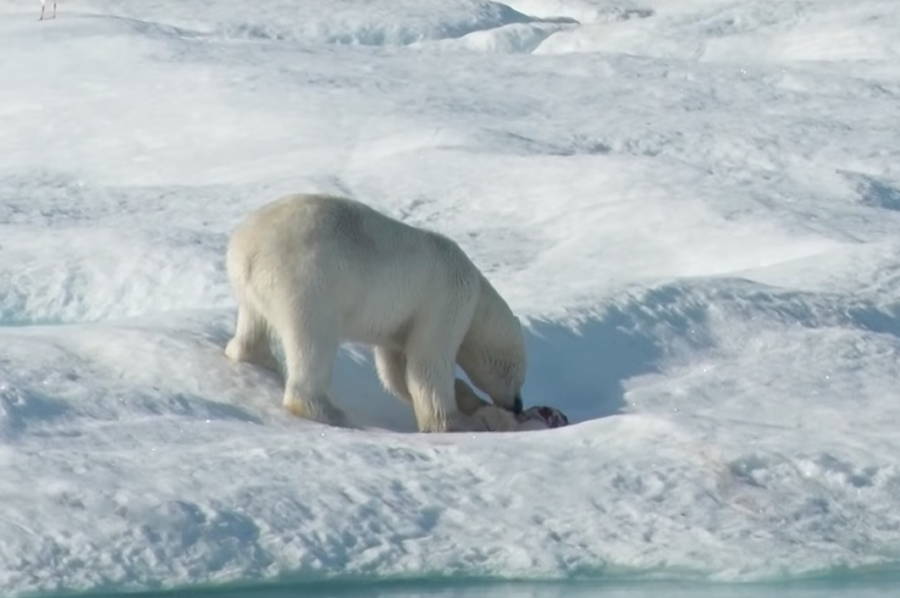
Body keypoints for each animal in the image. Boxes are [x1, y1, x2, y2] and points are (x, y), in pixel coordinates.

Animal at [224, 195, 528, 434]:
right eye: (519, 372)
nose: (518, 404)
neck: (478, 294)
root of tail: (247, 248)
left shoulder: (399, 324)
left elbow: (396, 372)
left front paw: (468, 399)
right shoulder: (445, 302)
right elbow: (427, 365)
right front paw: (456, 422)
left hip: (251, 289)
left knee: (252, 323)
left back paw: (258, 358)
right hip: (308, 284)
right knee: (313, 343)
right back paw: (327, 410)